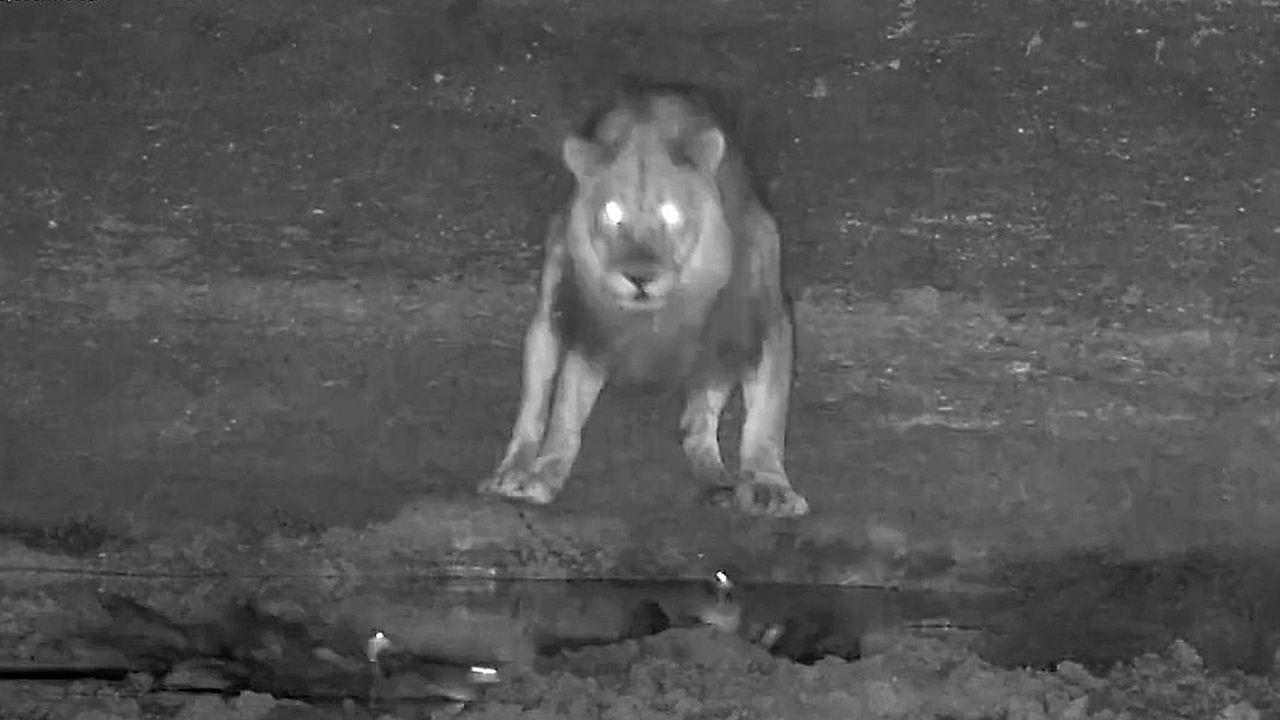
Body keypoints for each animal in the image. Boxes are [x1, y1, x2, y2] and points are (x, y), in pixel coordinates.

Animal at [477, 81, 809, 518]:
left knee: (696, 423)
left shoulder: (760, 319)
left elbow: (767, 416)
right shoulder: (594, 329)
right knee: (534, 406)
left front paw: (770, 484)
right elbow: (564, 412)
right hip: (550, 310)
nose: (639, 277)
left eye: (671, 214)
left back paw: (716, 479)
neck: (665, 311)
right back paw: (513, 470)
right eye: (612, 213)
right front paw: (545, 475)